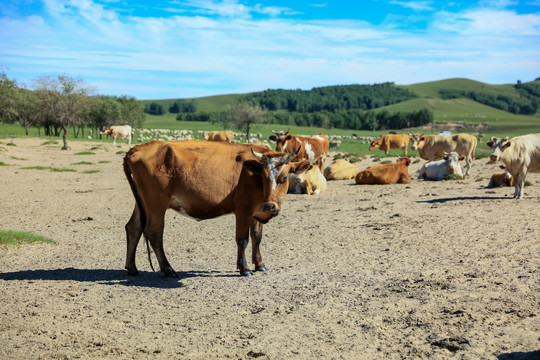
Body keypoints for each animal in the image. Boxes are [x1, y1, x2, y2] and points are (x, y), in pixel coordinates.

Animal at [122, 140, 308, 276]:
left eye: (284, 178)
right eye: (263, 176)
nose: (270, 205)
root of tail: (139, 147)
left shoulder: (257, 211)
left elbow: (257, 238)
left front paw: (259, 264)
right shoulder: (243, 210)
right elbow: (243, 240)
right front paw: (244, 268)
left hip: (142, 202)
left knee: (133, 228)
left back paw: (132, 268)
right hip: (156, 205)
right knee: (154, 233)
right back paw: (168, 269)